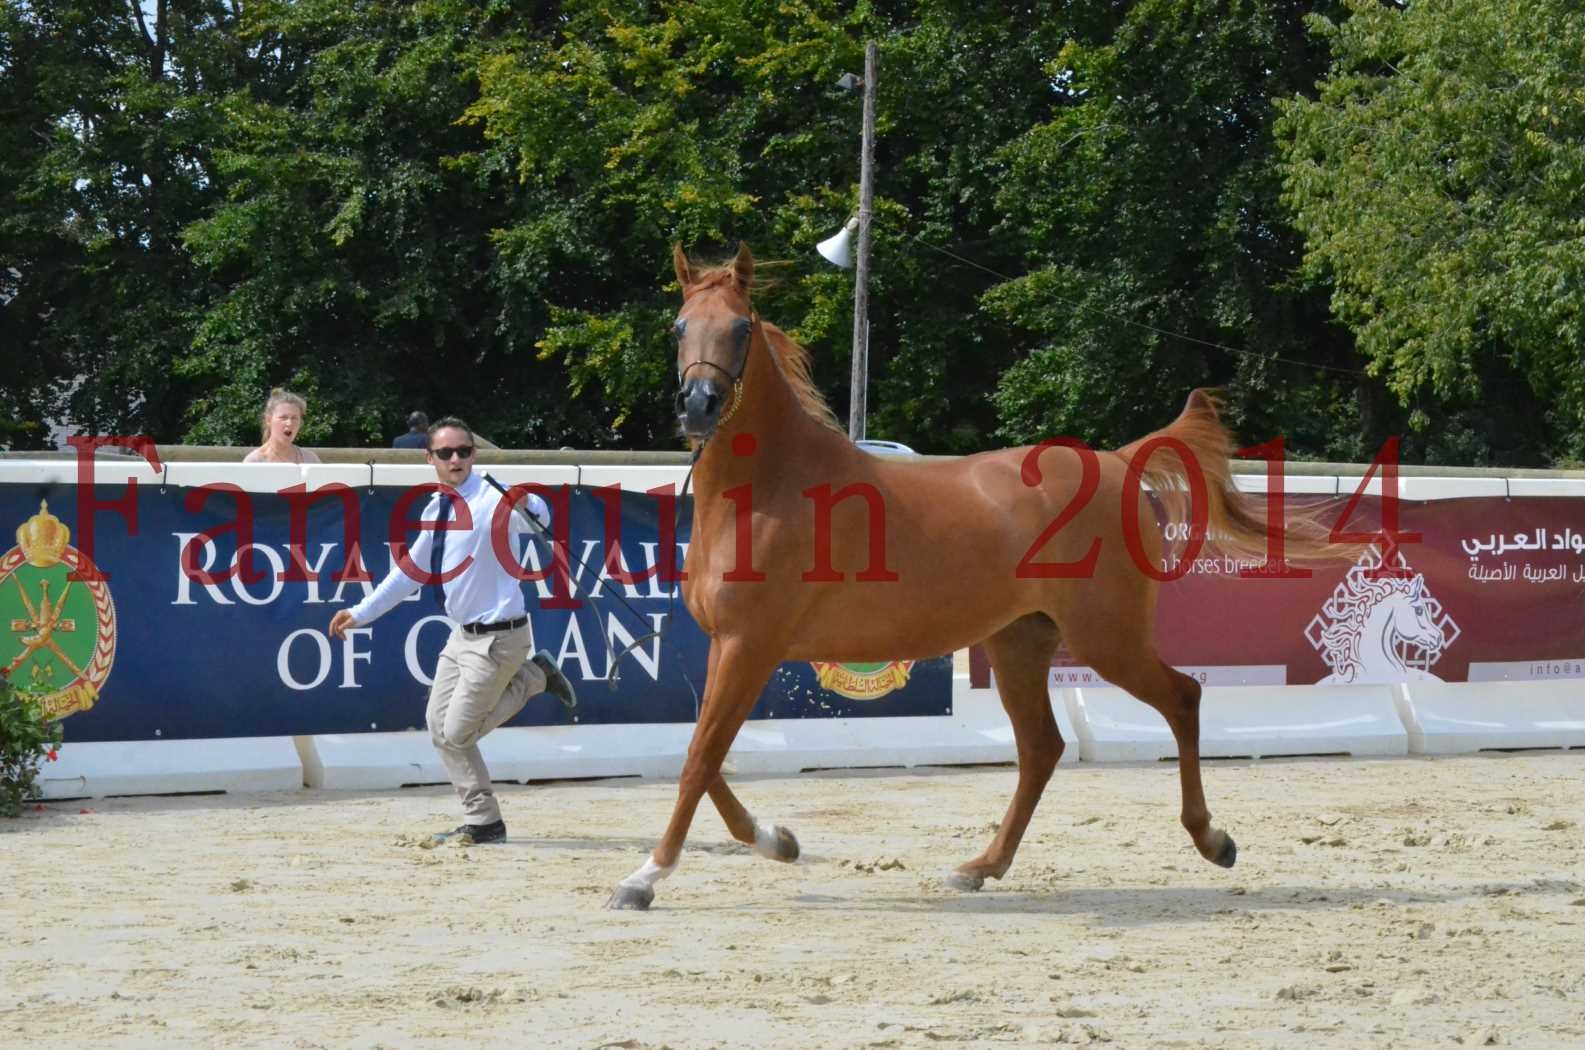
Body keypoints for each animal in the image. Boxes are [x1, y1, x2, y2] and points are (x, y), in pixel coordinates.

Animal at [602, 247, 1312, 913]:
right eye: (679, 325)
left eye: (741, 328)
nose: (699, 405)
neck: (769, 490)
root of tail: (1116, 461)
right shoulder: (726, 644)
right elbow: (704, 752)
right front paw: (778, 841)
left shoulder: (751, 646)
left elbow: (700, 758)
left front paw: (643, 878)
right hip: (1019, 641)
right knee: (1042, 748)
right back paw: (980, 868)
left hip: (1106, 639)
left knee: (1183, 699)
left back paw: (1213, 841)